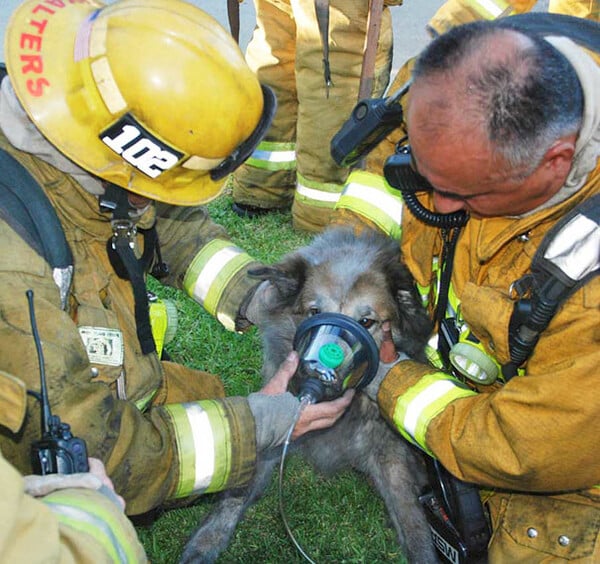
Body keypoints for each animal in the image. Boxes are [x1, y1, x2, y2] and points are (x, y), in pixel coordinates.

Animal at [180, 227, 438, 560]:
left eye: (367, 322)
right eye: (315, 312)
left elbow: (412, 521)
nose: (321, 369)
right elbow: (236, 491)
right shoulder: (273, 437)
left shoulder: (390, 452)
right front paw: (207, 541)